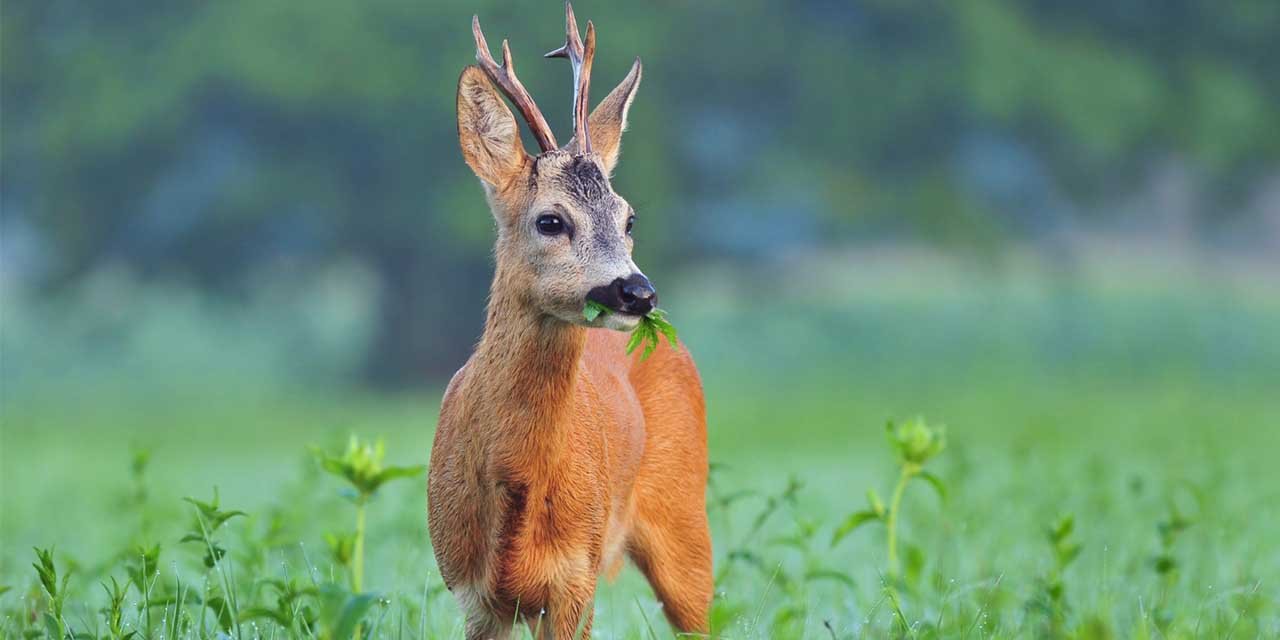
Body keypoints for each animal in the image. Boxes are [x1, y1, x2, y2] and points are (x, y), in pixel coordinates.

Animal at [427, 5, 711, 640]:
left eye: (629, 218)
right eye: (551, 220)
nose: (638, 292)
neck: (518, 483)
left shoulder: (576, 579)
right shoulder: (472, 593)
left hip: (685, 518)